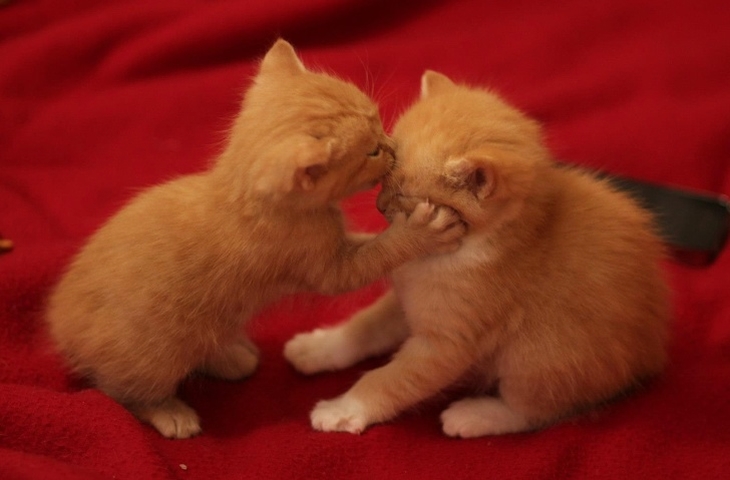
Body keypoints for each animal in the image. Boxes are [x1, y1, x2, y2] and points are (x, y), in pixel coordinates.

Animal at [47, 45, 460, 438]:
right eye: (372, 151)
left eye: (378, 119)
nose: (392, 146)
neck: (243, 195)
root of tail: (60, 329)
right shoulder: (324, 268)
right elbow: (376, 254)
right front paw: (420, 234)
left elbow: (366, 241)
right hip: (152, 358)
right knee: (121, 391)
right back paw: (170, 412)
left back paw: (231, 357)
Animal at [282, 70, 668, 436]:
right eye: (384, 177)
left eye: (406, 198)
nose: (378, 206)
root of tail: (652, 349)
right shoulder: (406, 300)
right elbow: (366, 326)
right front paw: (320, 347)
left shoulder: (448, 342)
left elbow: (391, 380)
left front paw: (344, 408)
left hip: (539, 356)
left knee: (534, 409)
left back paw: (476, 415)